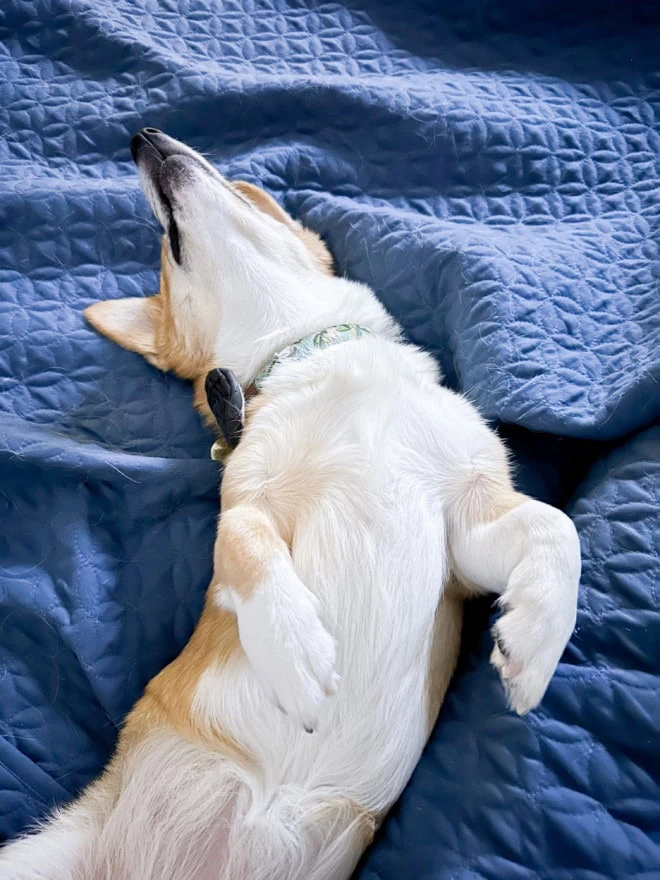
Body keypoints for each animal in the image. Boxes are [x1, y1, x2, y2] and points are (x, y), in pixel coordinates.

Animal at [0, 131, 576, 880]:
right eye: (166, 251)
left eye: (245, 193)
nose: (144, 138)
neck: (314, 353)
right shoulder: (248, 503)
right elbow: (244, 545)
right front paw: (296, 652)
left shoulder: (469, 534)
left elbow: (558, 527)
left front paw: (535, 643)